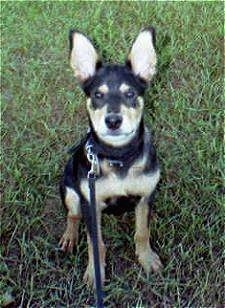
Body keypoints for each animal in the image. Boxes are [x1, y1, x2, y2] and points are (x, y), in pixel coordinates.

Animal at [59, 27, 163, 286]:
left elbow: (142, 233)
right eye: (98, 94)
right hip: (69, 190)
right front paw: (95, 273)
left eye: (130, 93)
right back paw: (69, 237)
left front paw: (147, 259)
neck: (119, 156)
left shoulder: (145, 197)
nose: (113, 121)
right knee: (72, 215)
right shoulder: (90, 203)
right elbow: (95, 243)